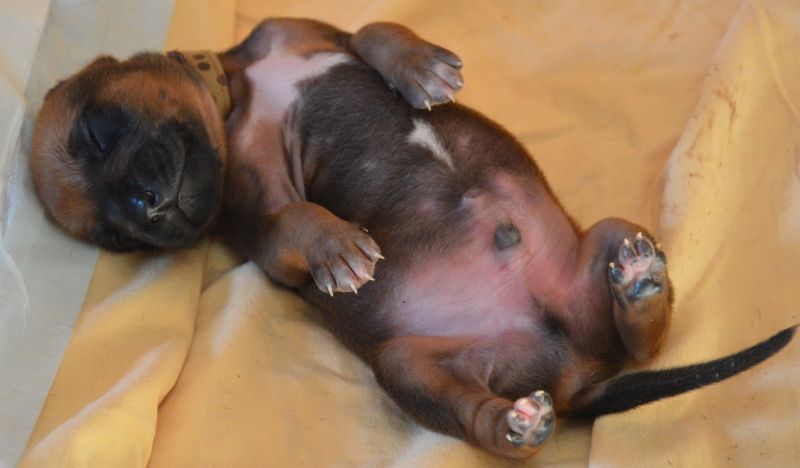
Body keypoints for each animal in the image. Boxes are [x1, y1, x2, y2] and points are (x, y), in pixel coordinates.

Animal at [29, 18, 795, 459]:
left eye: (97, 128)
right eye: (115, 240)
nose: (146, 209)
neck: (243, 90)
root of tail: (571, 373)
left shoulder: (306, 28)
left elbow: (373, 28)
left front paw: (420, 66)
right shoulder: (255, 218)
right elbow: (294, 223)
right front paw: (337, 248)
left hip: (607, 232)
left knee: (643, 339)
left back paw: (638, 286)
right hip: (406, 367)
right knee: (490, 413)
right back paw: (514, 421)